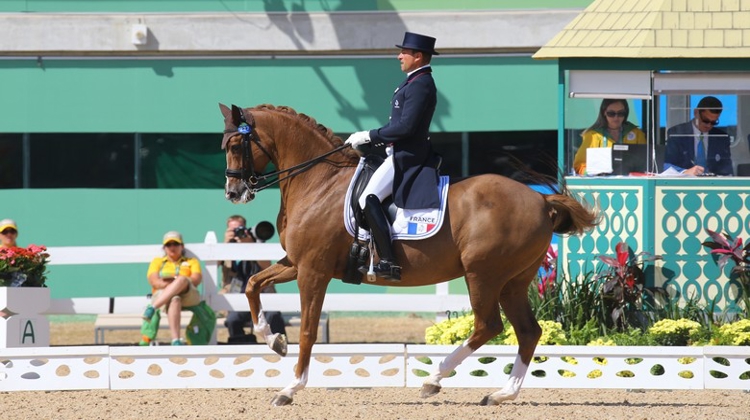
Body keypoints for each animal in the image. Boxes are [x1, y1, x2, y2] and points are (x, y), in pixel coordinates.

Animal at [219, 103, 600, 406]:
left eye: (237, 144)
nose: (233, 192)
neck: (319, 182)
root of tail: (540, 199)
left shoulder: (313, 270)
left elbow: (309, 331)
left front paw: (290, 388)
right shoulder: (296, 263)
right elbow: (252, 285)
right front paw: (274, 341)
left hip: (484, 274)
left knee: (488, 325)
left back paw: (434, 379)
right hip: (514, 281)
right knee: (528, 331)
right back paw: (501, 394)